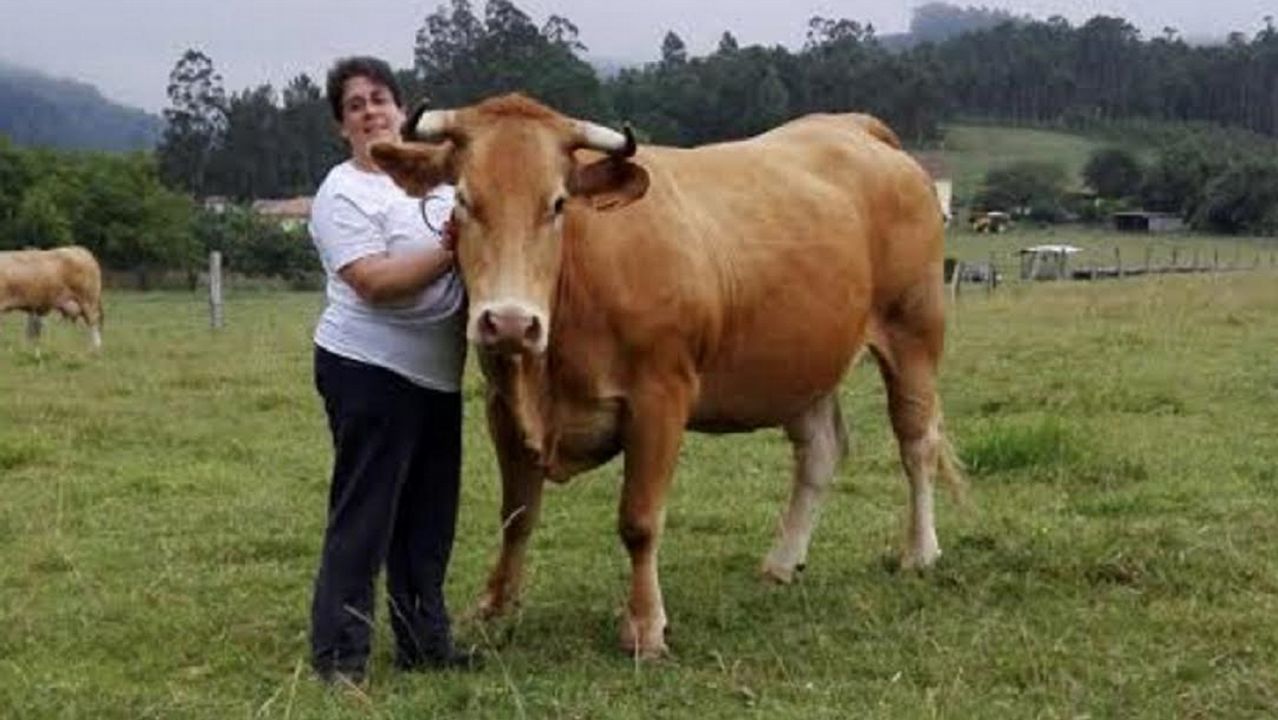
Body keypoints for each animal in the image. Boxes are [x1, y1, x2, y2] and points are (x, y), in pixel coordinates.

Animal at [370, 94, 963, 658]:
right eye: (463, 201)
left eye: (557, 204)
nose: (511, 322)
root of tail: (854, 127)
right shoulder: (502, 404)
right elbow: (517, 514)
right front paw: (494, 606)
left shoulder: (660, 398)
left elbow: (639, 520)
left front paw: (645, 626)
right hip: (806, 362)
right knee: (819, 453)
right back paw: (782, 562)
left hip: (913, 334)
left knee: (916, 444)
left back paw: (919, 551)